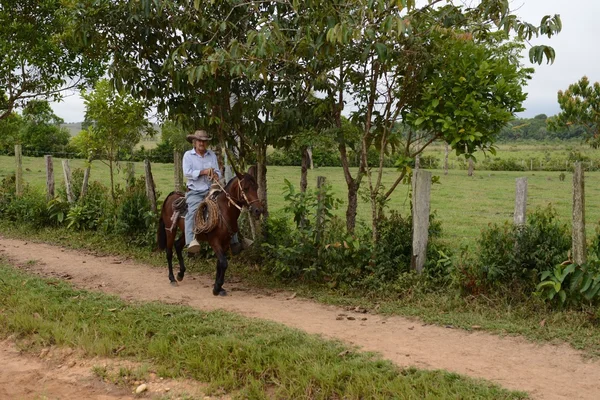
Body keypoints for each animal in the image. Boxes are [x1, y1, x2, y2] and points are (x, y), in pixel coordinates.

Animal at [157, 167, 262, 296]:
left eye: (256, 187)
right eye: (246, 188)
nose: (258, 210)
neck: (224, 211)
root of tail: (172, 195)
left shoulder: (225, 243)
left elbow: (220, 264)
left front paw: (220, 288)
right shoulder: (214, 241)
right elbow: (224, 263)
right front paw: (217, 287)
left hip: (187, 233)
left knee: (178, 245)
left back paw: (180, 274)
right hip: (170, 230)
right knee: (169, 252)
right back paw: (172, 278)